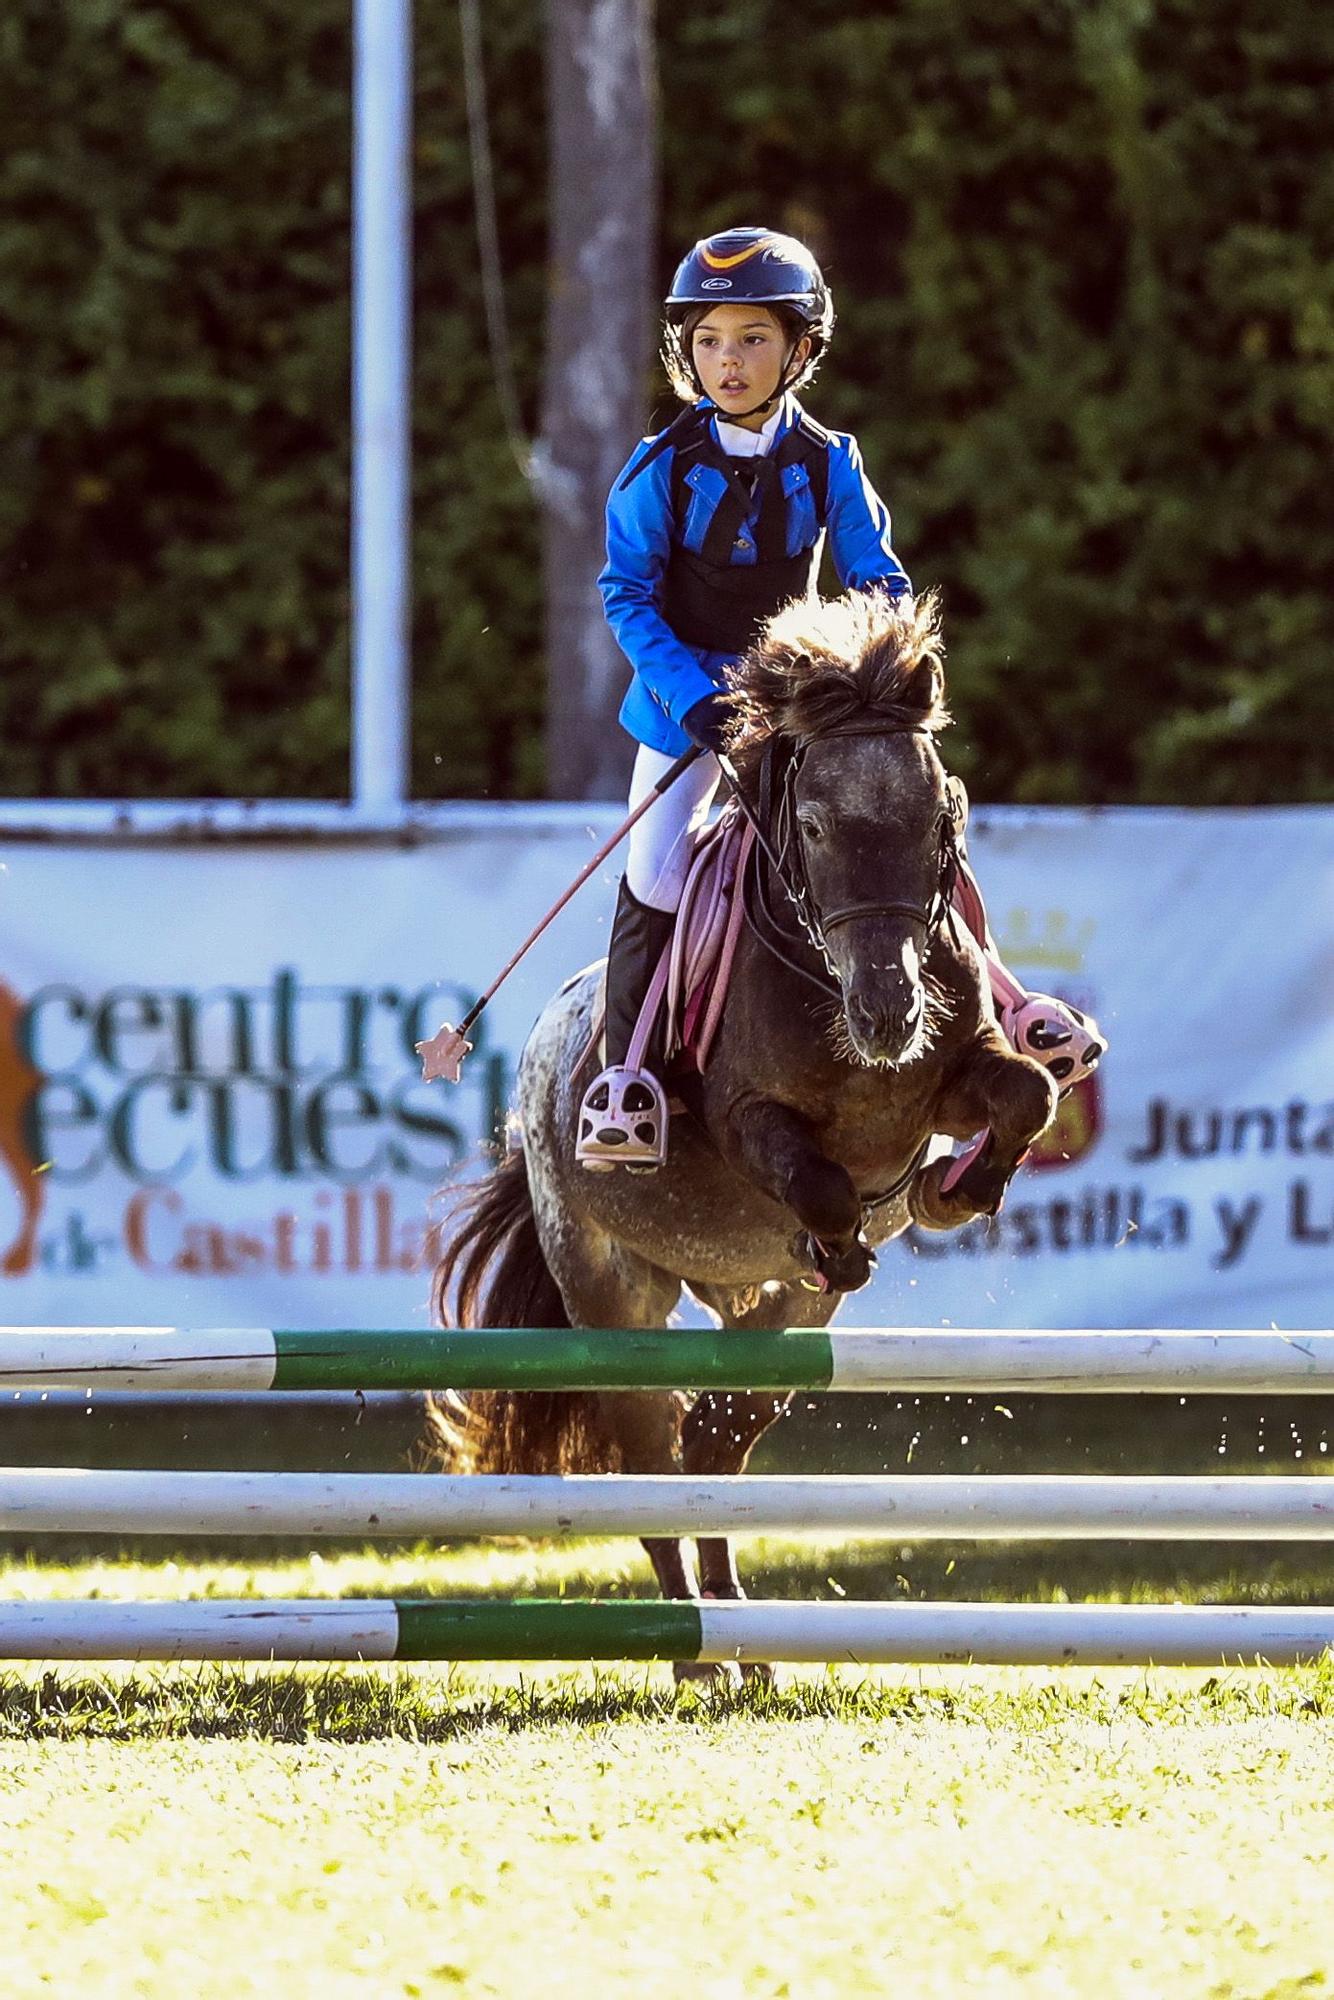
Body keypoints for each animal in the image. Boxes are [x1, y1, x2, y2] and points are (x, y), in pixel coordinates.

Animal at [434, 588, 1056, 1672]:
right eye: (810, 823)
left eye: (939, 818)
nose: (887, 1012)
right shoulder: (746, 1121)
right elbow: (815, 1179)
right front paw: (845, 1230)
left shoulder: (953, 1073)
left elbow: (1024, 1092)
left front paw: (957, 1189)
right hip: (610, 1286)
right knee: (653, 1451)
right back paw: (693, 1641)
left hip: (765, 1316)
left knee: (716, 1438)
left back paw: (734, 1624)